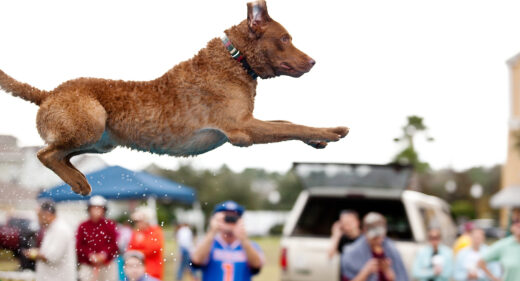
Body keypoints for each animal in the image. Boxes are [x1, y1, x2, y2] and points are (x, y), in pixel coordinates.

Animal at [1, 0, 350, 195]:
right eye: (285, 39)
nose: (313, 61)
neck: (236, 61)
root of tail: (47, 93)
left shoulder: (248, 120)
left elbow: (286, 120)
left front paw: (319, 140)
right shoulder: (242, 130)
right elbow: (290, 126)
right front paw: (331, 132)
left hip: (102, 141)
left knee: (60, 154)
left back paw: (77, 178)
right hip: (91, 123)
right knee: (45, 154)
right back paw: (77, 182)